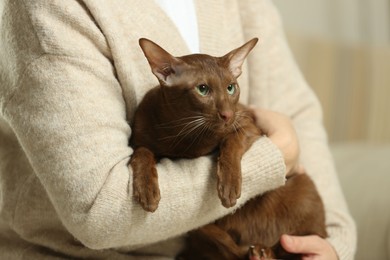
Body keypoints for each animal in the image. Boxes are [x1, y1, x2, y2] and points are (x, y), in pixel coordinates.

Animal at [129, 38, 328, 260]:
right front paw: (147, 191)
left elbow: (231, 142)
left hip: (304, 191)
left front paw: (229, 186)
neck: (184, 134)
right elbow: (142, 152)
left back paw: (262, 251)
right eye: (202, 89)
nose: (227, 114)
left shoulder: (248, 123)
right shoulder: (140, 139)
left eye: (231, 88)